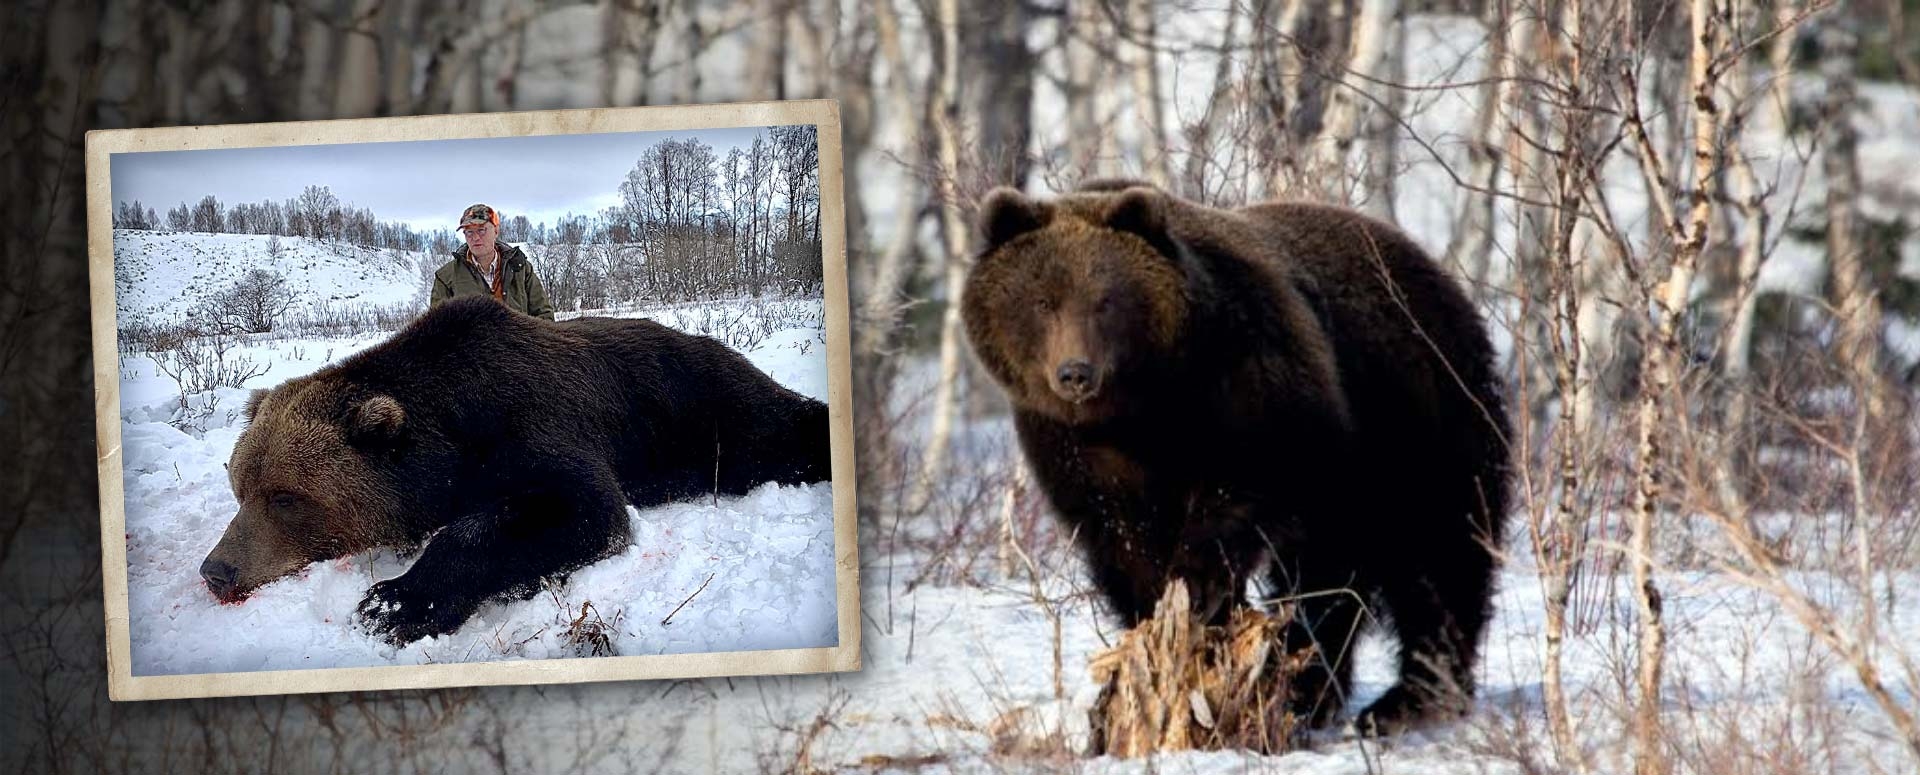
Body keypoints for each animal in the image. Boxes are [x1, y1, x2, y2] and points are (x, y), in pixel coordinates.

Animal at [199, 295, 832, 645]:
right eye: (240, 489)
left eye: (285, 497)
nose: (217, 570)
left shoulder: (531, 419)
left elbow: (579, 509)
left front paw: (394, 603)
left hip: (706, 405)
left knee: (781, 427)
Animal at [960, 181, 1510, 734]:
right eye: (1042, 300)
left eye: (1106, 301)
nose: (1075, 372)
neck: (1144, 406)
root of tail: (1436, 270)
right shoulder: (1076, 447)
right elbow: (1121, 536)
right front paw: (1160, 610)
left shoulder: (1248, 383)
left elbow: (1244, 487)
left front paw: (1198, 584)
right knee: (1334, 579)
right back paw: (1314, 690)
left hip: (1422, 415)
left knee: (1439, 554)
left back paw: (1411, 696)